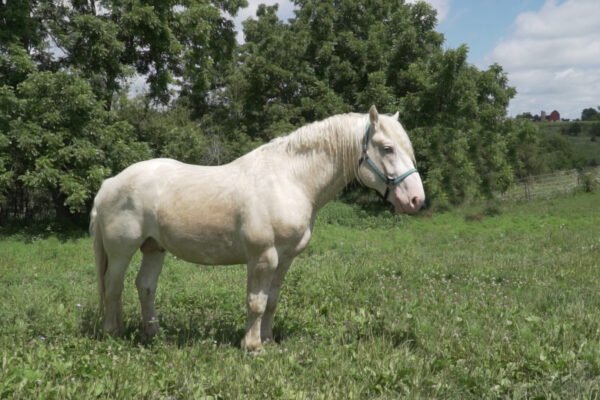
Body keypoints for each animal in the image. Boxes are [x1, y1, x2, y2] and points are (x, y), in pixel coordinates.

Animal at [90, 105, 426, 350]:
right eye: (387, 148)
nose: (416, 200)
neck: (290, 180)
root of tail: (109, 184)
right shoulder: (263, 257)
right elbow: (256, 302)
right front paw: (252, 346)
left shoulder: (285, 259)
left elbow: (271, 302)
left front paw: (267, 339)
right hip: (121, 251)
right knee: (113, 287)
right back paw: (112, 333)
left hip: (154, 248)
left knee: (145, 287)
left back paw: (152, 334)